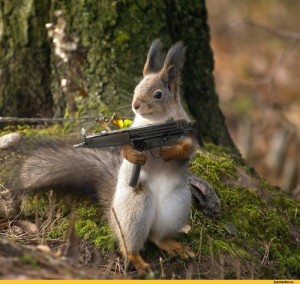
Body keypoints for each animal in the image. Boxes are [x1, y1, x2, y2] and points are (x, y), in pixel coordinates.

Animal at [16, 38, 199, 274]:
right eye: (136, 88)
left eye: (158, 94)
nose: (135, 105)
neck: (156, 123)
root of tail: (113, 214)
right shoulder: (135, 133)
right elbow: (127, 150)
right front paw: (138, 156)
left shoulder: (187, 132)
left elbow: (189, 149)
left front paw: (168, 151)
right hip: (135, 206)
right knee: (129, 243)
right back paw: (137, 260)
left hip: (176, 205)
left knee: (157, 237)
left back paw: (172, 245)